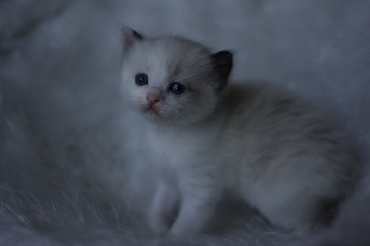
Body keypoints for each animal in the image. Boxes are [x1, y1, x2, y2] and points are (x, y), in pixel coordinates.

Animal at [121, 26, 358, 236]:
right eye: (141, 79)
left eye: (177, 88)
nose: (152, 98)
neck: (166, 133)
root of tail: (346, 166)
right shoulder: (168, 178)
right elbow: (161, 205)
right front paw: (158, 229)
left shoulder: (201, 188)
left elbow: (186, 224)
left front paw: (172, 238)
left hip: (276, 200)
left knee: (313, 226)